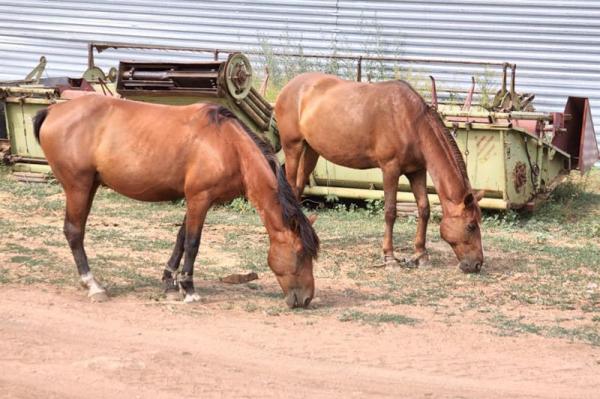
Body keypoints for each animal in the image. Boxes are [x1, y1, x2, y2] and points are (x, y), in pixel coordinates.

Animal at [34, 95, 318, 308]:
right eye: (301, 253)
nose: (306, 299)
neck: (228, 144)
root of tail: (53, 110)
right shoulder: (200, 198)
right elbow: (192, 243)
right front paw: (189, 289)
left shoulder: (193, 198)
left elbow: (180, 238)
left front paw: (170, 282)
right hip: (78, 186)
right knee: (74, 231)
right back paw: (93, 286)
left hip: (89, 185)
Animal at [276, 72, 482, 272]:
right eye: (471, 226)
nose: (477, 264)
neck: (410, 121)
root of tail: (288, 88)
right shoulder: (390, 169)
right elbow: (390, 212)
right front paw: (389, 258)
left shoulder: (417, 171)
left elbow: (424, 208)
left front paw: (421, 255)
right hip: (292, 147)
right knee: (292, 187)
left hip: (311, 151)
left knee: (299, 187)